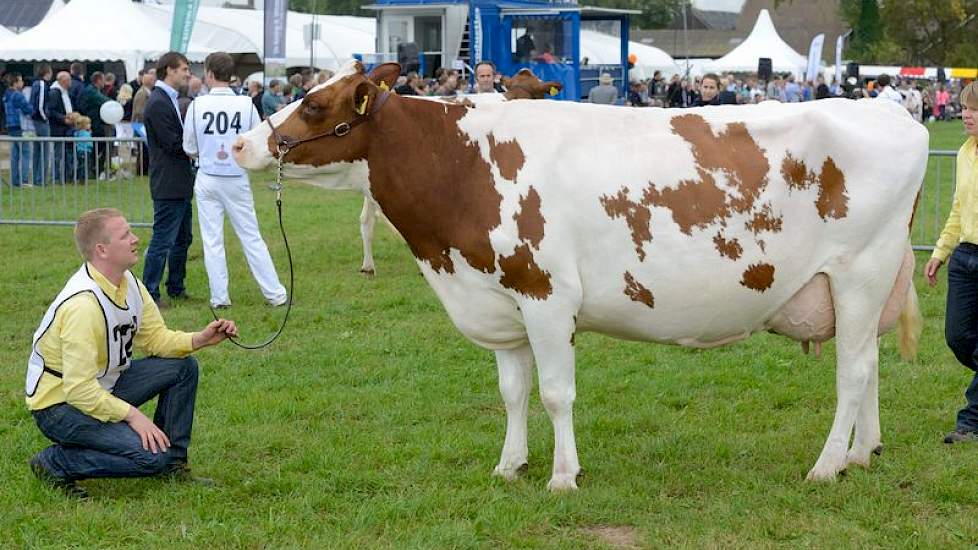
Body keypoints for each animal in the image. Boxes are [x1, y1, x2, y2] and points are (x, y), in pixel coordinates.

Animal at [233, 60, 928, 492]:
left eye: (313, 103)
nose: (240, 144)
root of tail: (893, 113)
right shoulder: (501, 298)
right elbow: (513, 392)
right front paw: (509, 466)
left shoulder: (545, 294)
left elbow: (555, 394)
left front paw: (563, 476)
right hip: (866, 285)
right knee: (868, 364)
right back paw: (863, 452)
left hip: (860, 272)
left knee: (853, 371)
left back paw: (827, 465)